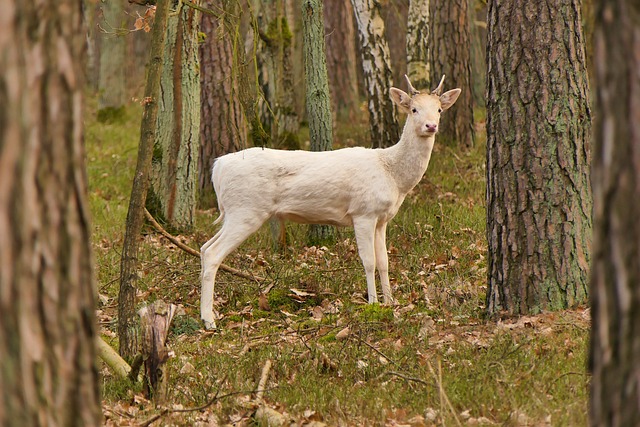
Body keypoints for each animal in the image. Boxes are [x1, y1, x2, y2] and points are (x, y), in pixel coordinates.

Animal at [200, 75, 460, 330]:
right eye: (414, 109)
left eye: (439, 109)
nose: (431, 126)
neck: (393, 175)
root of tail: (218, 168)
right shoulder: (363, 212)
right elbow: (369, 261)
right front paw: (373, 303)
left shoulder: (382, 219)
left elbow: (384, 261)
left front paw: (391, 301)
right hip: (247, 209)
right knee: (213, 252)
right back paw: (209, 320)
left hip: (234, 212)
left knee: (204, 247)